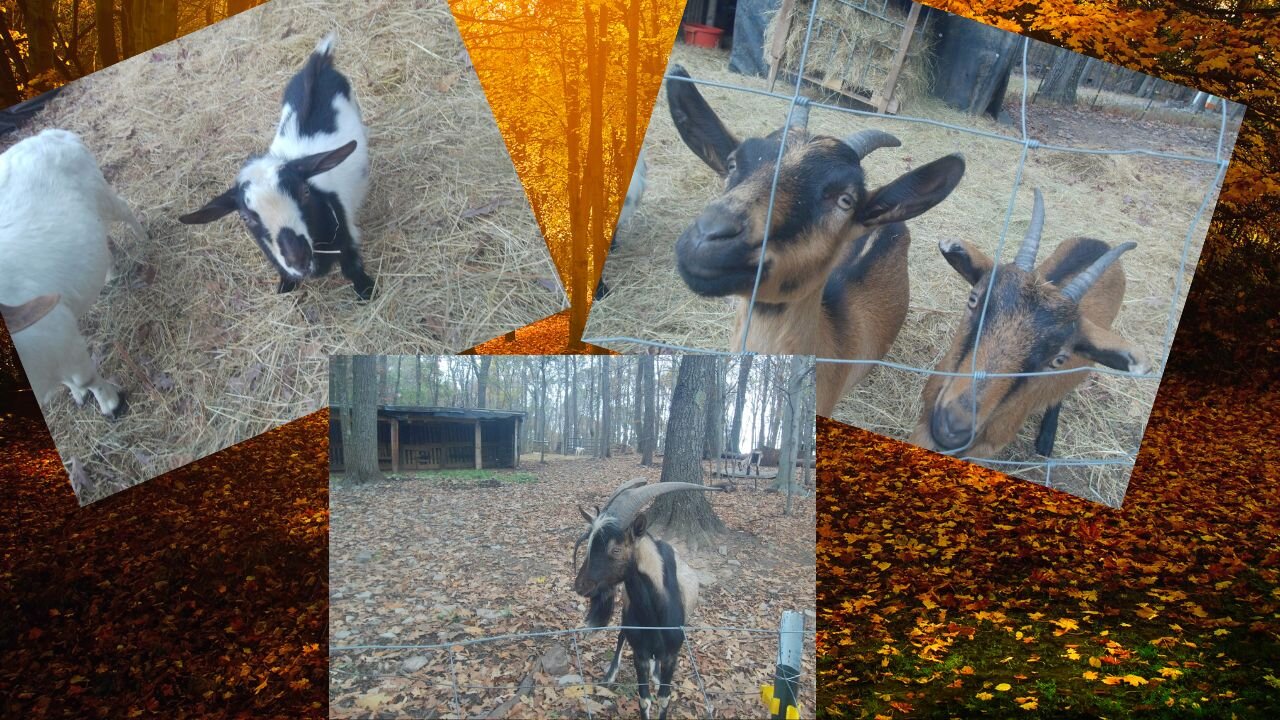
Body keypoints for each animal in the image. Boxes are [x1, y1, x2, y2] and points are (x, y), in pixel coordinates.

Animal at [1, 128, 144, 418]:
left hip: (101, 194)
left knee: (123, 208)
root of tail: (49, 134)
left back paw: (144, 239)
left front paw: (111, 404)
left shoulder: (61, 334)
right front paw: (78, 394)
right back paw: (110, 275)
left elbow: (85, 378)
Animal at [179, 33, 374, 300]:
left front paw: (366, 290)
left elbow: (352, 265)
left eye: (305, 192)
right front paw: (286, 287)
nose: (298, 259)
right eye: (245, 217)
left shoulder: (347, 238)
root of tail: (317, 65)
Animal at [573, 478, 723, 720]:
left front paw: (659, 681)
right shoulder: (640, 654)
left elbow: (664, 697)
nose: (580, 585)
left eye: (616, 549)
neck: (655, 618)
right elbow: (644, 698)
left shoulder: (672, 655)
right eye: (590, 544)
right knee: (622, 635)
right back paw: (611, 674)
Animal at [909, 188, 1150, 458]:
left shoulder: (990, 444)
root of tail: (1101, 244)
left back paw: (1046, 440)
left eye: (1058, 359)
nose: (952, 428)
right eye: (973, 299)